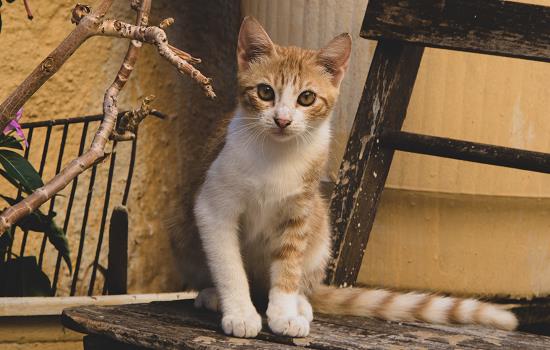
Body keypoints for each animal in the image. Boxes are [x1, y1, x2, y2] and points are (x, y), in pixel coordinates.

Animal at [192, 16, 520, 340]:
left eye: (307, 97)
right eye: (265, 92)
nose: (282, 120)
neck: (277, 155)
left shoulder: (300, 212)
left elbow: (289, 266)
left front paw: (284, 312)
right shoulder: (214, 207)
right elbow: (230, 266)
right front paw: (241, 313)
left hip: (320, 225)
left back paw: (301, 303)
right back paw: (214, 296)